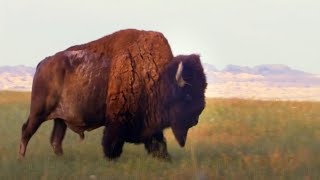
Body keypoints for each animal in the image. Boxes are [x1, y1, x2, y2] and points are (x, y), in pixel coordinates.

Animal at [18, 28, 206, 160]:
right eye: (187, 96)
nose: (196, 119)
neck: (158, 77)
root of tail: (43, 63)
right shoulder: (117, 121)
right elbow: (112, 145)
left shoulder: (151, 127)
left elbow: (158, 145)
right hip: (38, 112)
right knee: (26, 131)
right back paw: (22, 158)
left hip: (60, 120)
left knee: (56, 140)